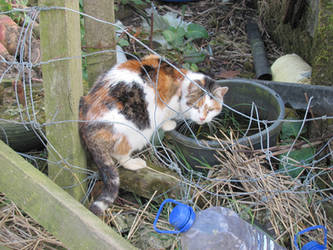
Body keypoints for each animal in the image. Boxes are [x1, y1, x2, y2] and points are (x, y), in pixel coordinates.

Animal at [78, 54, 228, 215]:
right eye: (196, 106)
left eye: (211, 109)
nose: (202, 118)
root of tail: (88, 124)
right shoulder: (164, 108)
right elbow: (165, 118)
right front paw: (169, 124)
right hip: (135, 132)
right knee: (120, 154)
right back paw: (134, 163)